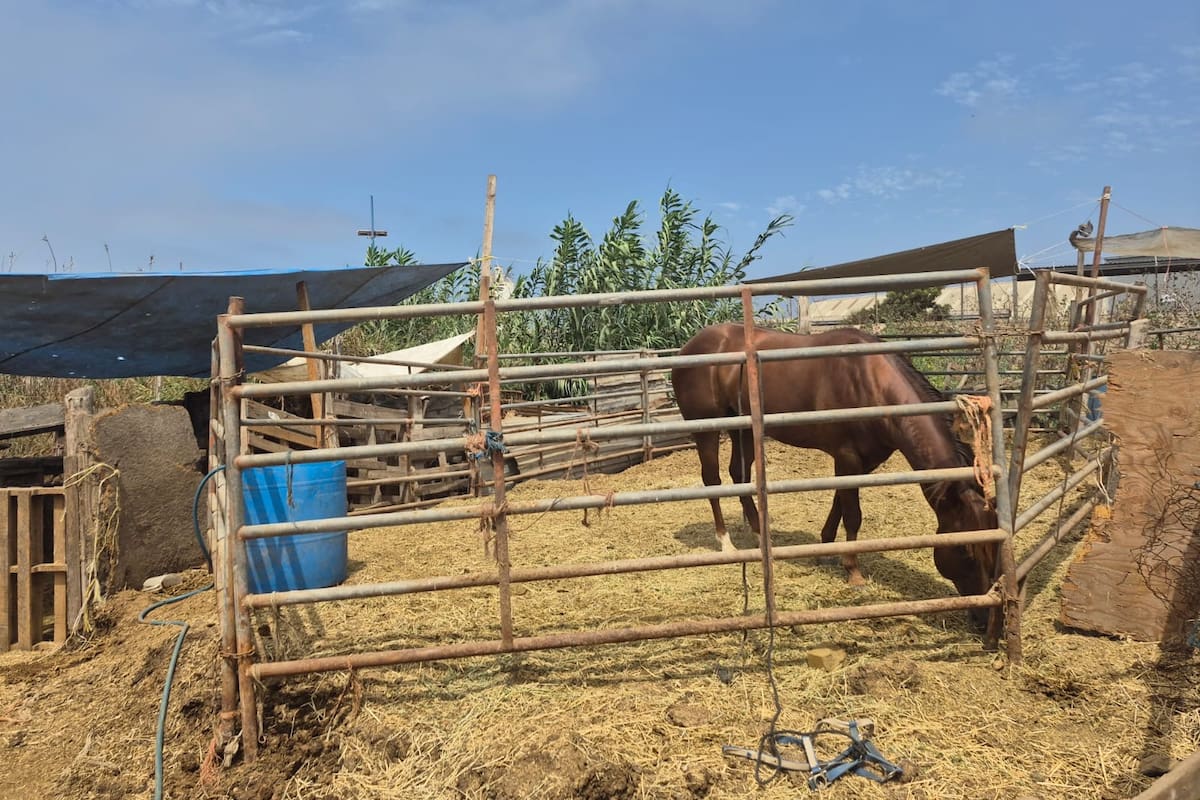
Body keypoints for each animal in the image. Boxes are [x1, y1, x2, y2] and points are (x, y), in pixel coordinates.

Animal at [670, 323, 997, 616]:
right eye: (965, 550)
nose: (984, 618)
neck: (872, 383)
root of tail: (690, 347)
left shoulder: (864, 461)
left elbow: (839, 502)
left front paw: (825, 547)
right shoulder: (847, 457)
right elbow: (852, 514)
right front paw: (853, 572)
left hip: (744, 427)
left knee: (741, 476)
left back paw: (760, 536)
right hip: (707, 428)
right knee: (712, 479)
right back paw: (726, 544)